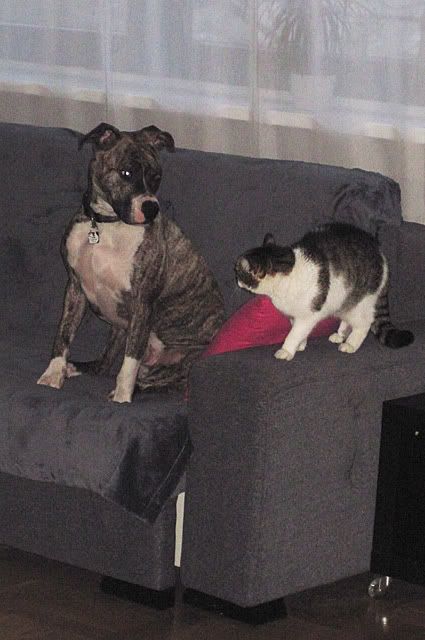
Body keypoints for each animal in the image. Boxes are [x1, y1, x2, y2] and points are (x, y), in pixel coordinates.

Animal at [37, 123, 224, 403]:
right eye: (126, 173)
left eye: (157, 177)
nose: (151, 208)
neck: (107, 225)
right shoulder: (74, 288)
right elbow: (64, 334)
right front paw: (53, 374)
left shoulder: (142, 302)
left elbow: (129, 362)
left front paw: (122, 399)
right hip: (118, 329)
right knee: (104, 364)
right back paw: (76, 368)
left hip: (183, 360)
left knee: (161, 381)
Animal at [235, 222, 414, 361]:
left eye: (238, 272)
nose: (236, 280)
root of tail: (380, 252)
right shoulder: (294, 314)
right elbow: (297, 330)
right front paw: (300, 345)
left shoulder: (308, 315)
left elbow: (294, 333)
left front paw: (286, 350)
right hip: (343, 300)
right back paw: (340, 335)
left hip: (361, 303)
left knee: (364, 323)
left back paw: (350, 344)